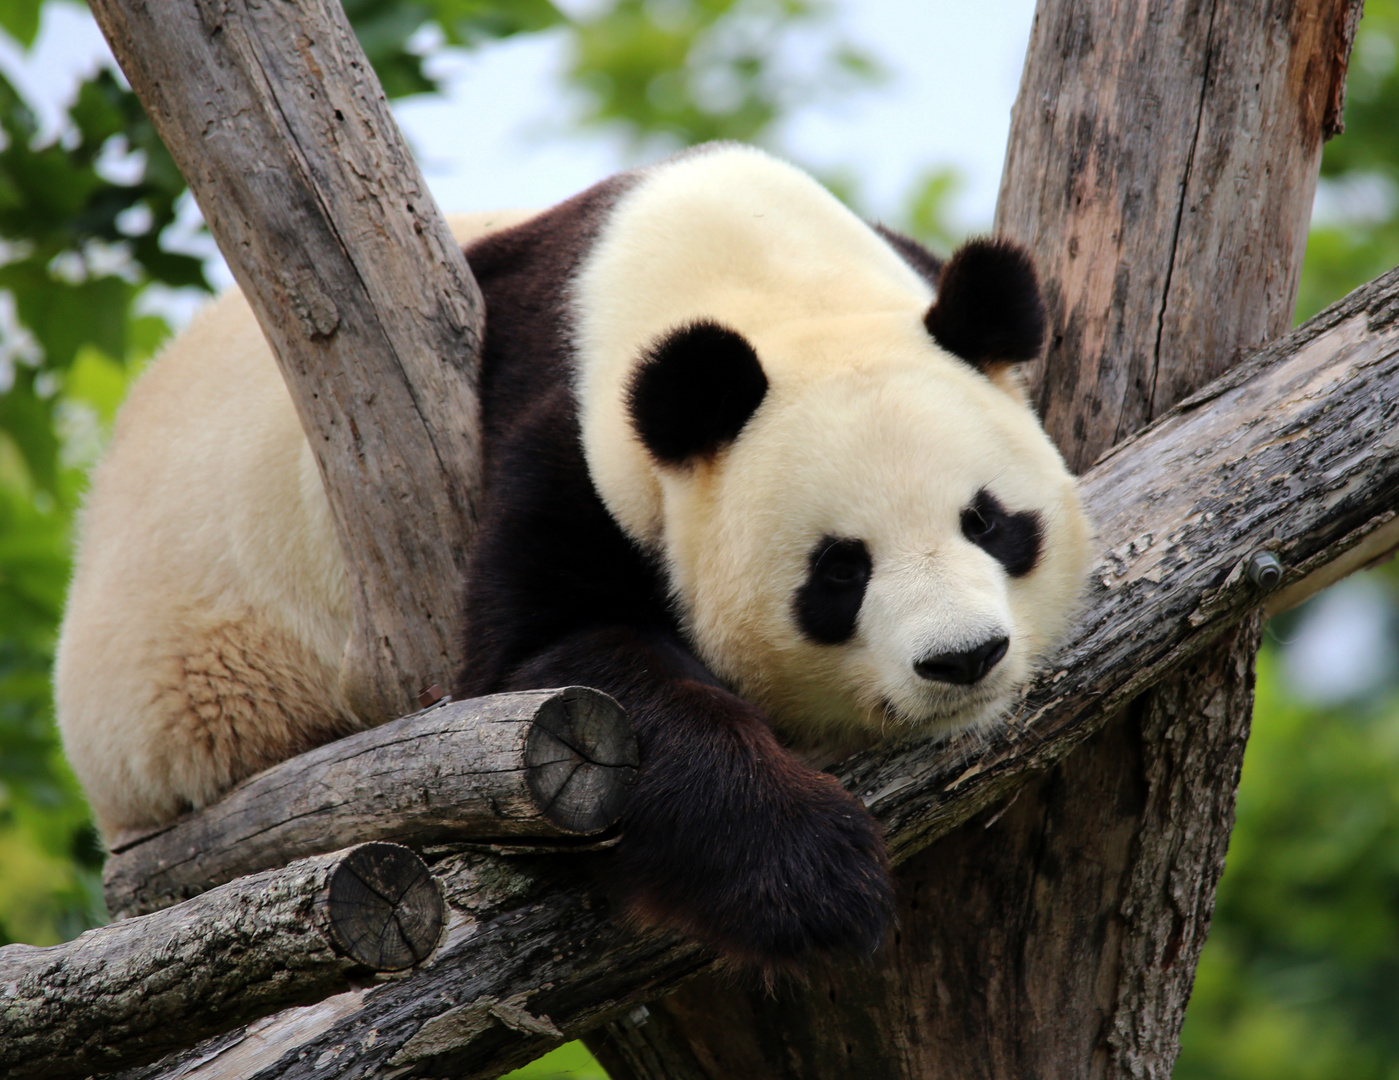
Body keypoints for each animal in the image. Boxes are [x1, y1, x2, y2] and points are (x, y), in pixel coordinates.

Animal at [57, 141, 1091, 962]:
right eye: (840, 571)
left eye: (987, 523)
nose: (963, 660)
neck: (753, 275)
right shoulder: (569, 439)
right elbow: (554, 666)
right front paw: (818, 883)